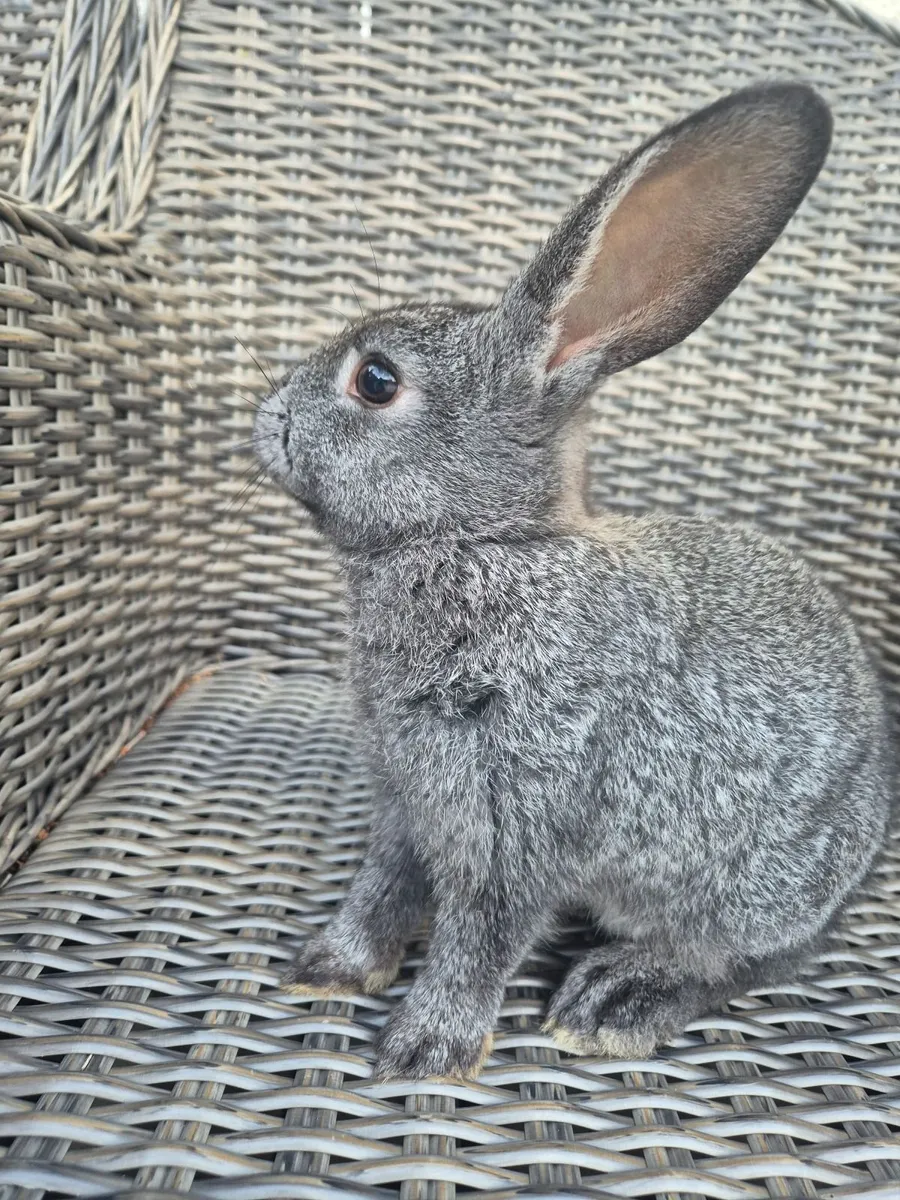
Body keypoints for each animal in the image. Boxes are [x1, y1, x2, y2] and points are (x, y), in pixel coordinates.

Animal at [254, 82, 894, 1080]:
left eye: (377, 380)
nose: (268, 418)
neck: (489, 543)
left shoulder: (522, 820)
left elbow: (480, 939)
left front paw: (425, 1052)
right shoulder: (411, 799)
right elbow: (383, 886)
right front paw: (331, 969)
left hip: (752, 891)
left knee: (755, 954)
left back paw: (617, 998)